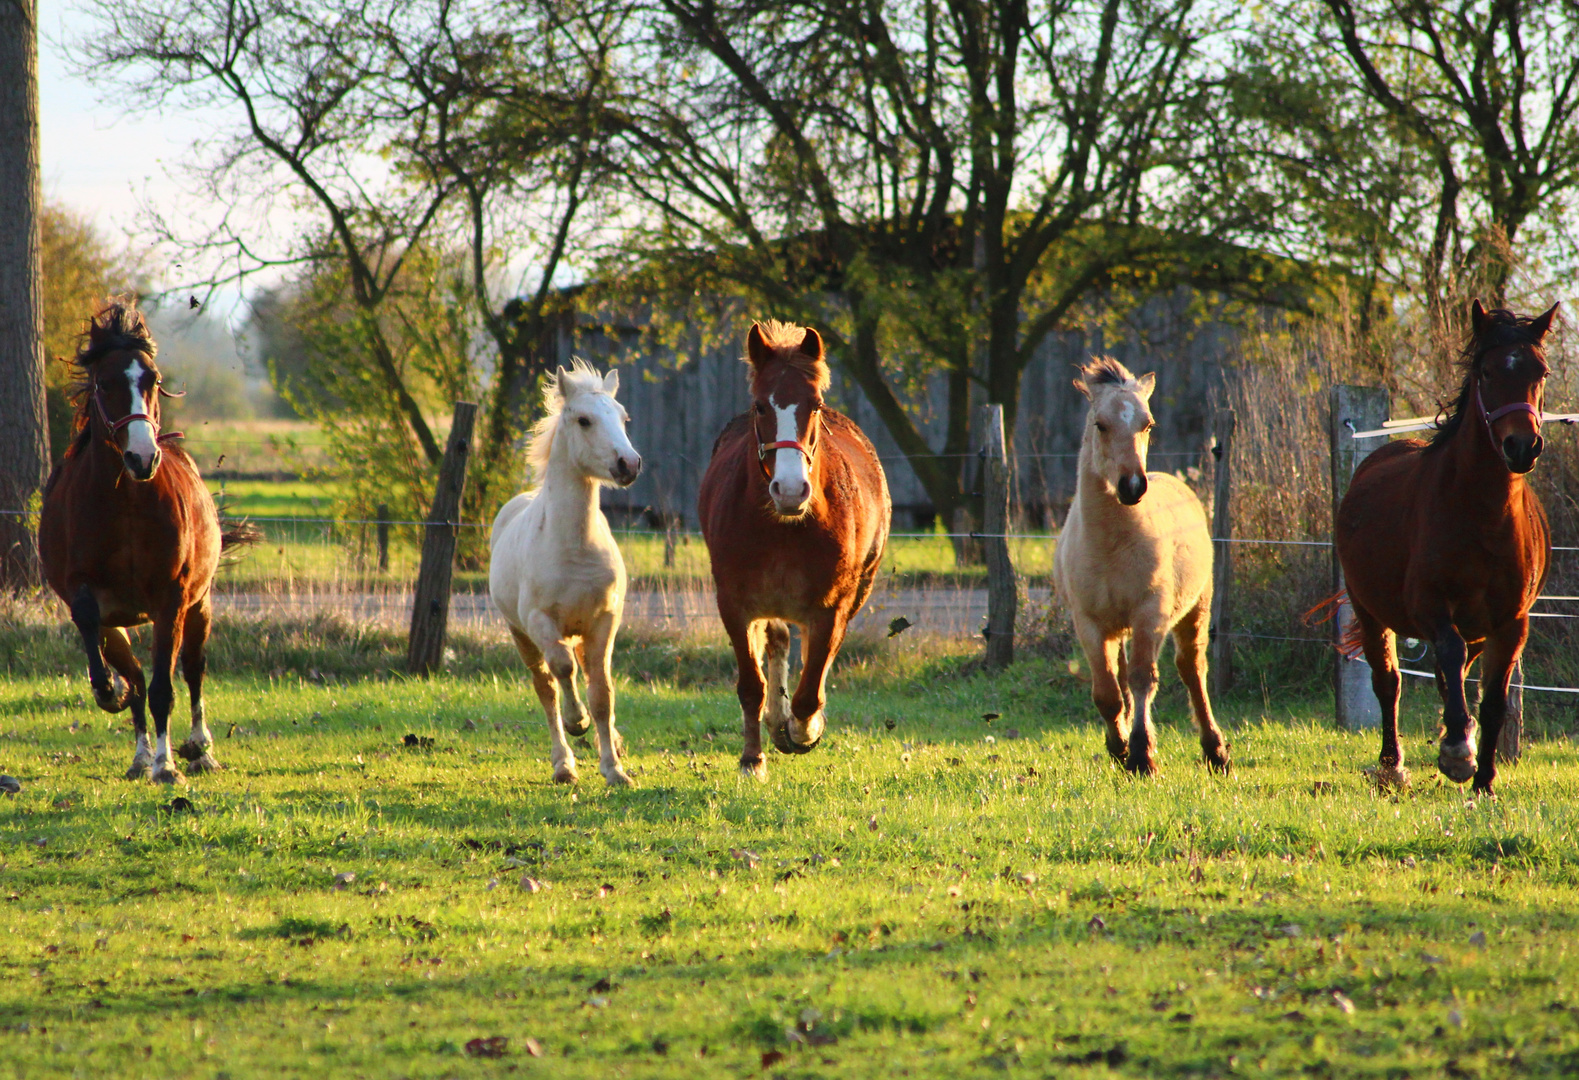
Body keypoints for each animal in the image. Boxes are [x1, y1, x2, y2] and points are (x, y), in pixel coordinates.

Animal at [38, 301, 254, 783]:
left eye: (152, 380)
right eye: (105, 383)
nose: (143, 457)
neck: (126, 502)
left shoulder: (170, 599)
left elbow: (164, 688)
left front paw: (167, 764)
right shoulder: (85, 592)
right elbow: (101, 636)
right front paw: (107, 691)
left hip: (199, 605)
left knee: (192, 669)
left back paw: (199, 748)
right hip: (123, 621)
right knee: (136, 675)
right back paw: (137, 754)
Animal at [489, 363, 644, 783]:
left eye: (623, 417)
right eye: (584, 420)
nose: (629, 464)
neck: (574, 549)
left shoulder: (604, 621)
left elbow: (602, 693)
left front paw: (614, 769)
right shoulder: (539, 621)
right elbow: (562, 670)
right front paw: (578, 722)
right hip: (521, 635)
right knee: (546, 687)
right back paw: (563, 764)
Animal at [701, 315, 890, 780]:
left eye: (815, 405)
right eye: (760, 406)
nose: (789, 490)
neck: (784, 528)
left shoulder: (832, 607)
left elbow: (810, 690)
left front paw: (803, 730)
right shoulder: (734, 603)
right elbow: (751, 685)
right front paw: (753, 758)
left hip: (857, 591)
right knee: (777, 642)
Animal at [1061, 358, 1231, 770]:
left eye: (1147, 424)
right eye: (1100, 424)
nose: (1133, 486)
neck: (1110, 545)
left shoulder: (1149, 614)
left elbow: (1142, 680)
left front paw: (1141, 755)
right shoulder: (1089, 623)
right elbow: (1107, 691)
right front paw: (1119, 746)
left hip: (1193, 611)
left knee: (1191, 670)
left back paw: (1215, 750)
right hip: (1120, 628)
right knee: (1121, 678)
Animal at [1338, 301, 1560, 792]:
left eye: (1541, 372)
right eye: (1487, 372)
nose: (1522, 445)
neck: (1483, 517)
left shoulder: (1511, 622)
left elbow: (1493, 699)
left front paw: (1484, 780)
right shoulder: (1430, 606)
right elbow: (1449, 654)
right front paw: (1458, 753)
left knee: (1449, 676)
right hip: (1369, 610)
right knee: (1389, 681)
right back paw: (1392, 765)